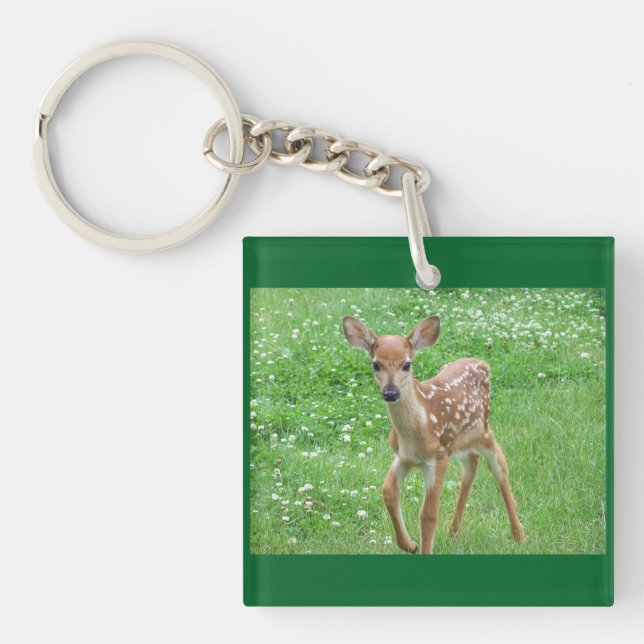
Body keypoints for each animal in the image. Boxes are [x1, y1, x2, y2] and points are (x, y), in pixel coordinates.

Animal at [343, 314, 525, 554]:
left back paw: (519, 534)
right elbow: (388, 491)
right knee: (471, 462)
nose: (390, 392)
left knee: (500, 467)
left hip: (483, 431)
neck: (417, 429)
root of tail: (483, 364)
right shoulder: (403, 457)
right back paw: (453, 532)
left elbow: (428, 515)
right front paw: (410, 544)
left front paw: (422, 547)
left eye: (407, 364)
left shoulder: (438, 457)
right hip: (460, 442)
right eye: (375, 364)